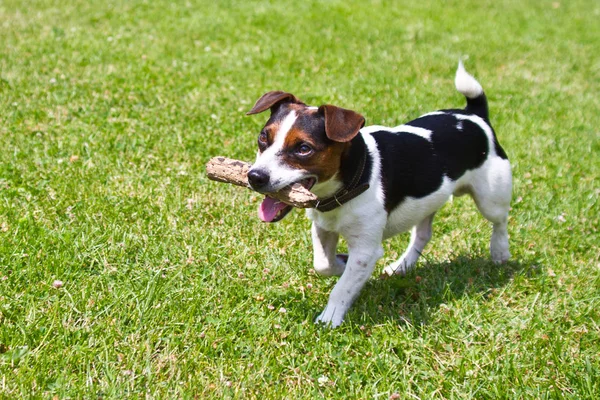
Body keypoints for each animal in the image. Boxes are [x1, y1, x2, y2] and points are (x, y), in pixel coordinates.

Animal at [244, 61, 510, 326]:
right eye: (263, 137)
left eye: (303, 148)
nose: (255, 176)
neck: (350, 182)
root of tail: (474, 115)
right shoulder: (322, 228)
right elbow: (323, 264)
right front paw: (340, 264)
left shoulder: (365, 248)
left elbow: (342, 288)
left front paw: (330, 318)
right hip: (428, 200)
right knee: (423, 234)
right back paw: (402, 266)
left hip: (491, 197)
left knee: (500, 221)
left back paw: (500, 252)